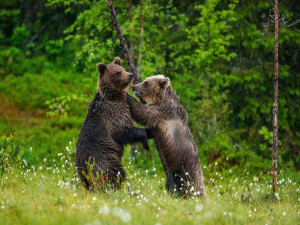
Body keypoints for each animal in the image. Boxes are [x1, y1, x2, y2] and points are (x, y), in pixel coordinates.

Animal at [76, 57, 149, 189]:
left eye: (123, 68)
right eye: (118, 72)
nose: (130, 75)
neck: (114, 96)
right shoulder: (113, 114)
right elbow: (124, 130)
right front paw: (145, 138)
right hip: (103, 157)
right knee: (114, 171)